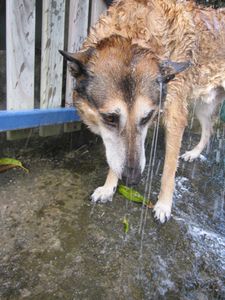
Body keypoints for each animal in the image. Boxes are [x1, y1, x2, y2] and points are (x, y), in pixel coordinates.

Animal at [59, 0, 225, 223]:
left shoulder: (175, 120)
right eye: (110, 118)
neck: (137, 31)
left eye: (147, 117)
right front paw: (108, 188)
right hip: (203, 106)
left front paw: (163, 205)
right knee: (208, 131)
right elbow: (115, 159)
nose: (132, 180)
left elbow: (168, 171)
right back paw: (194, 153)